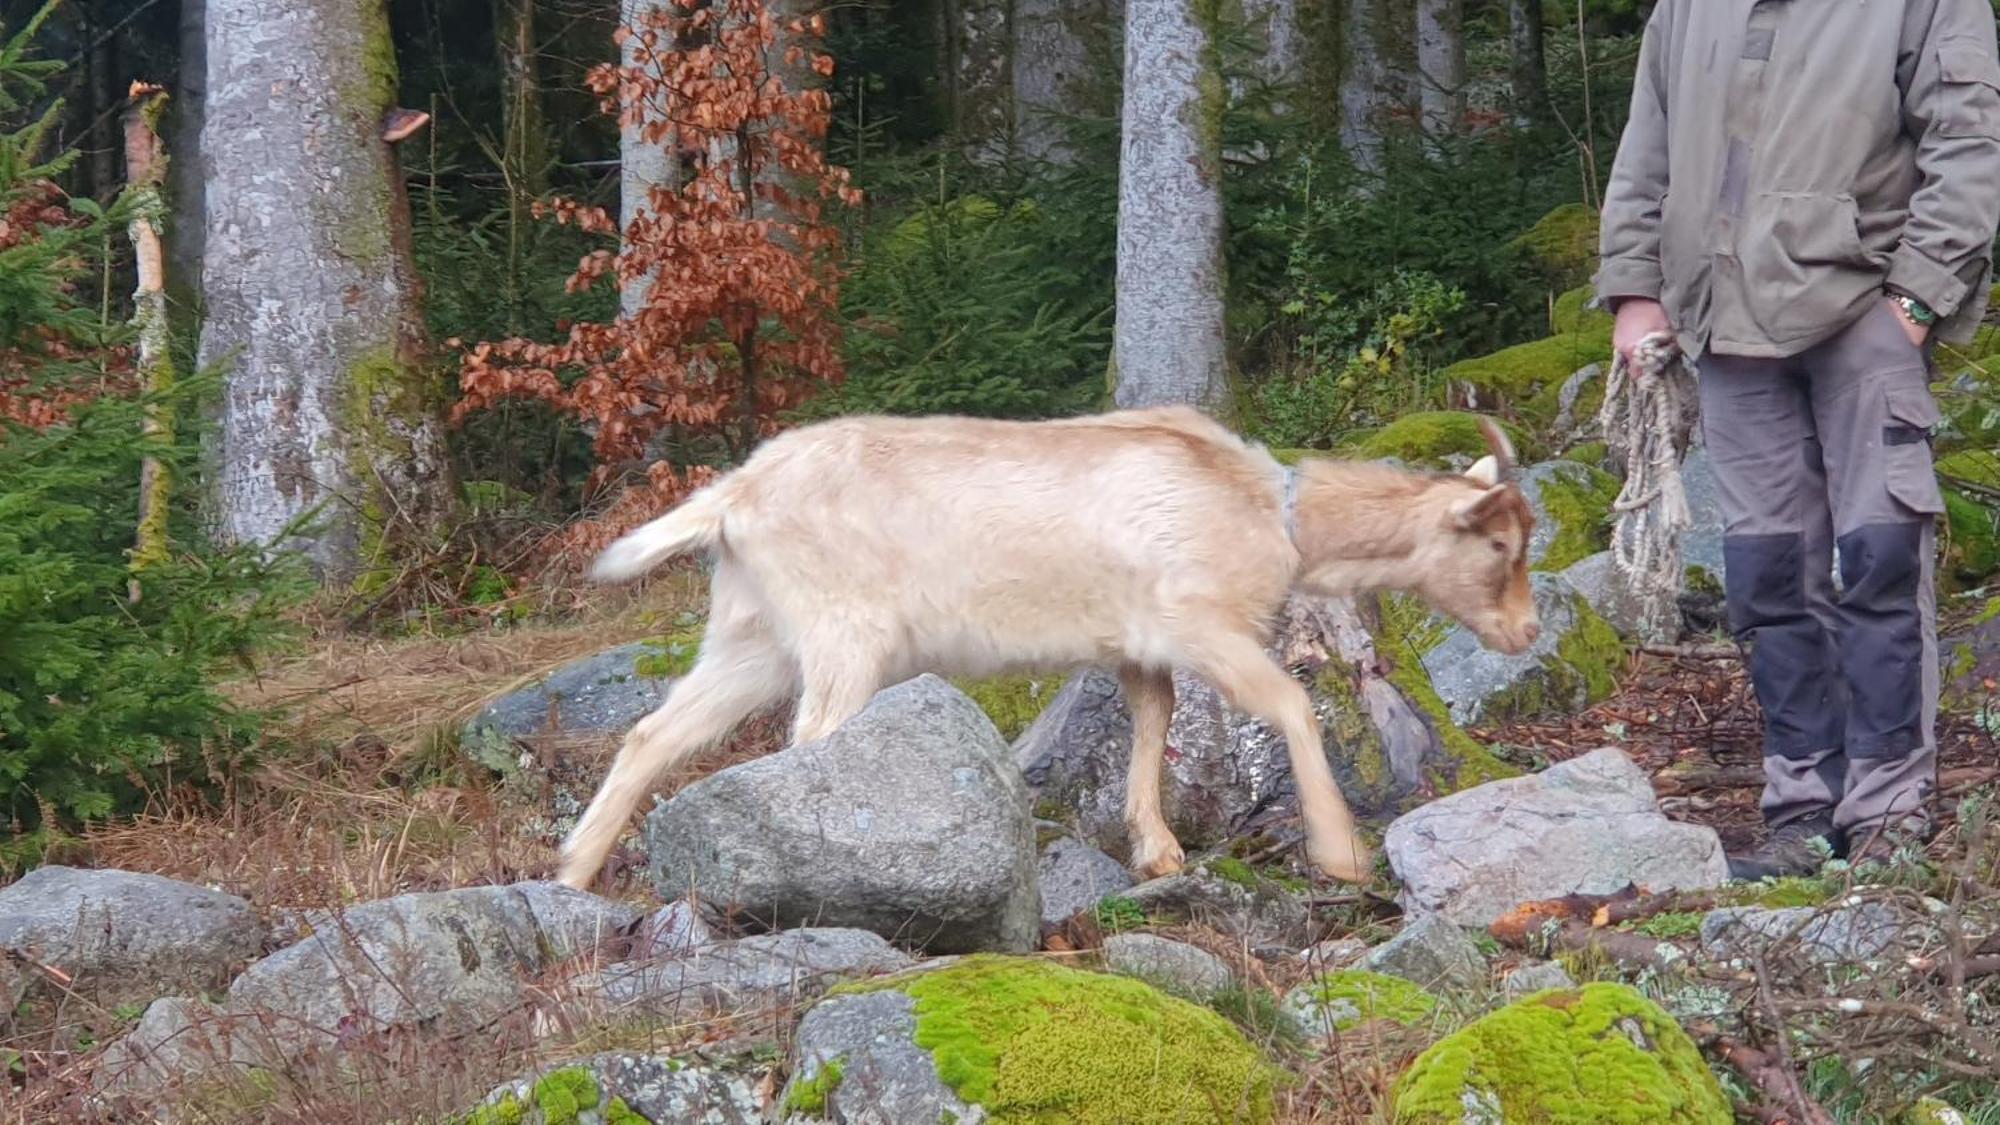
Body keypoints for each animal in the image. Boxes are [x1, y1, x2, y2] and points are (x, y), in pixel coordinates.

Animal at [556, 400, 1536, 884]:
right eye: (1498, 545)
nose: (1526, 631)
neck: (1270, 510)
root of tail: (734, 497)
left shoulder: (1138, 644)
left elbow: (1153, 718)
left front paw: (1157, 849)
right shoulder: (1200, 622)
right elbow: (1292, 700)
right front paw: (1340, 854)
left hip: (752, 634)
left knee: (652, 734)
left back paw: (572, 873)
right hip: (845, 631)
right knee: (811, 739)